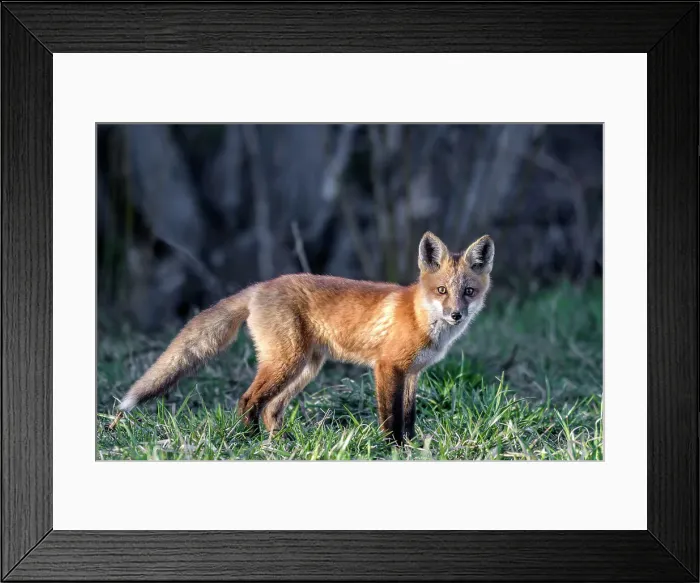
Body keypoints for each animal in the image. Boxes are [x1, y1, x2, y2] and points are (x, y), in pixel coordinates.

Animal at [112, 231, 494, 445]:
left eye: (468, 292)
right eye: (442, 291)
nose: (456, 315)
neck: (419, 316)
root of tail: (260, 286)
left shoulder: (412, 373)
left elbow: (409, 416)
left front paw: (412, 448)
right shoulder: (387, 368)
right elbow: (390, 417)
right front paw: (393, 449)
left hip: (305, 368)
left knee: (271, 409)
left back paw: (278, 445)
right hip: (286, 362)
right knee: (248, 401)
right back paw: (248, 443)